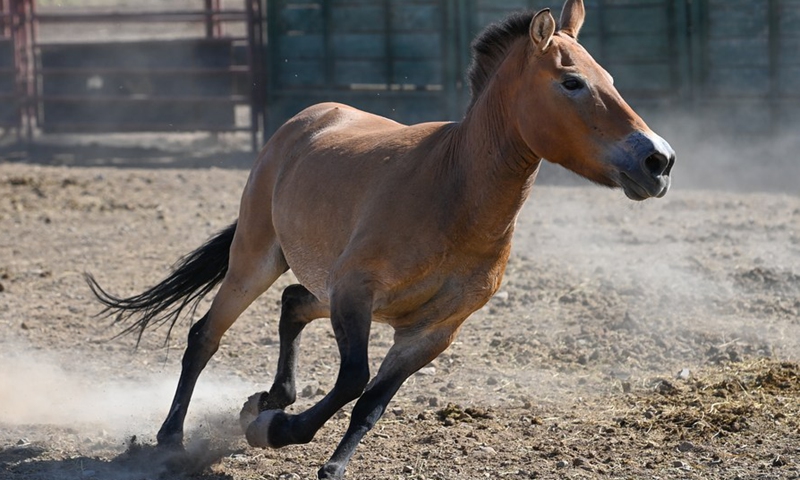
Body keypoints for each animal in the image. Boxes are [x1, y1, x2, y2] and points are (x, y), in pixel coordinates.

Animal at [87, 1, 676, 478]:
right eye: (571, 82)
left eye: (610, 78)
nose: (659, 159)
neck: (453, 192)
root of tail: (308, 119)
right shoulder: (356, 292)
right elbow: (354, 380)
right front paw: (274, 429)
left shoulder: (432, 331)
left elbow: (373, 402)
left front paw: (315, 451)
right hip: (257, 258)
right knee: (205, 335)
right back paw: (171, 439)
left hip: (321, 284)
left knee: (293, 303)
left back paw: (268, 398)